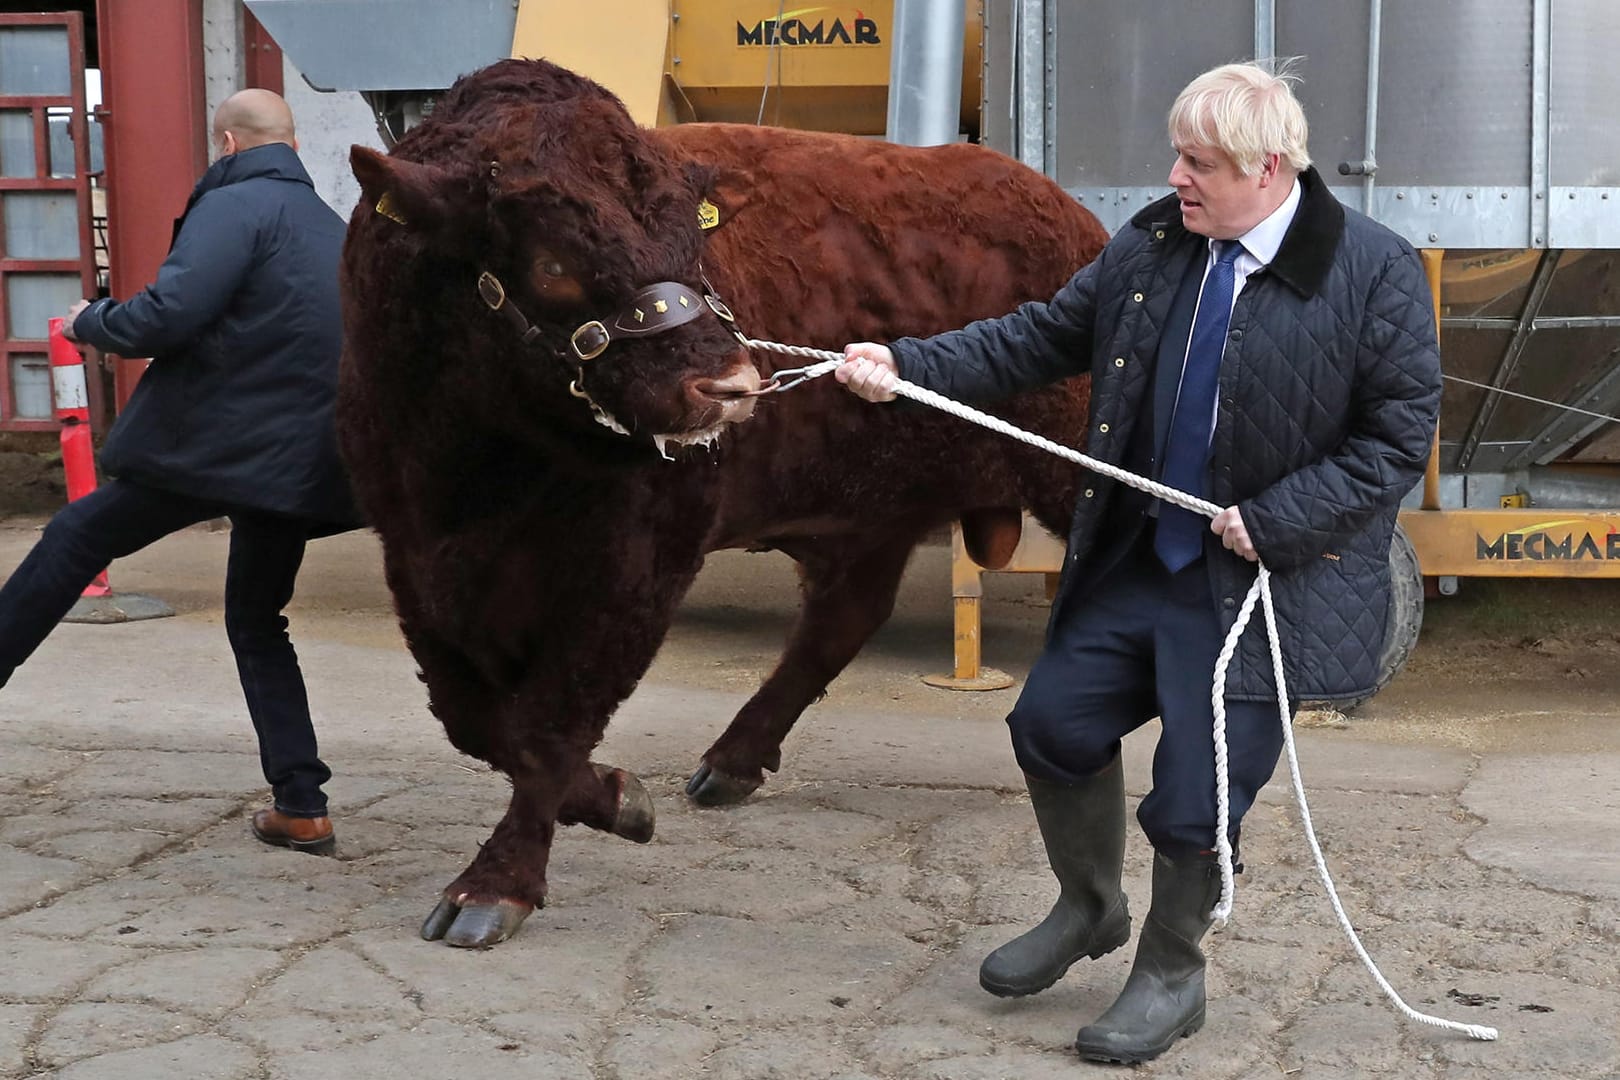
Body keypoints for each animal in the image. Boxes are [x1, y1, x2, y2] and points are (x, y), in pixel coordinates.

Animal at [338, 59, 1101, 945]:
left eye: (692, 240)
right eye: (553, 261)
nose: (731, 386)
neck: (480, 468)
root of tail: (1070, 216)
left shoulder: (638, 565)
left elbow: (549, 722)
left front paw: (499, 885)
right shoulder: (416, 556)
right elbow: (476, 718)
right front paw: (615, 799)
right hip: (873, 513)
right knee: (840, 622)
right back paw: (731, 764)